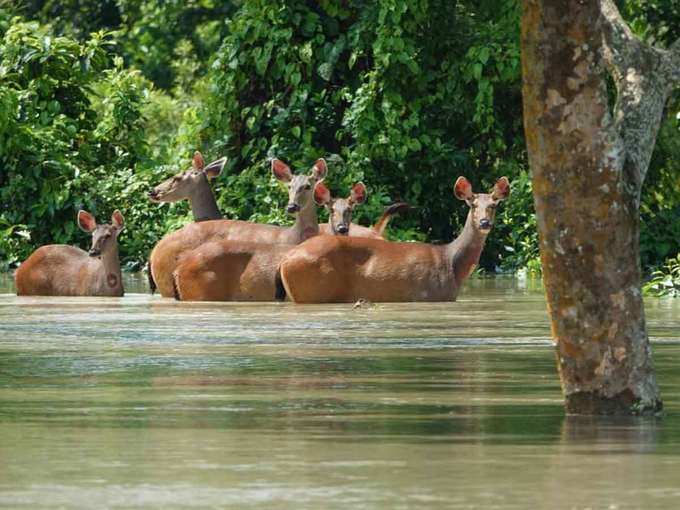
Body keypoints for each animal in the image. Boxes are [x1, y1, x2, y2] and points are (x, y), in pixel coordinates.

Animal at [276, 176, 510, 302]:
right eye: (473, 205)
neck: (451, 263)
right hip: (312, 291)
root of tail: (286, 259)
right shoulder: (429, 295)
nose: (484, 223)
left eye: (493, 205)